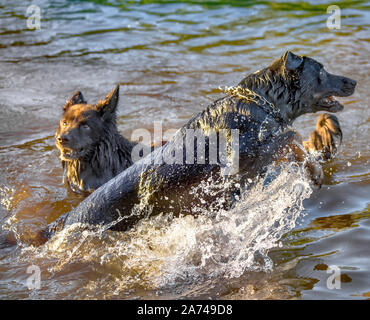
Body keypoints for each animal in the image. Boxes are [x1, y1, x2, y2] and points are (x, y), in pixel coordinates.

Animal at [45, 51, 356, 238]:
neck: (256, 103)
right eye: (322, 71)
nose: (353, 81)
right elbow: (289, 137)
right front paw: (314, 171)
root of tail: (62, 222)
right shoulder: (242, 160)